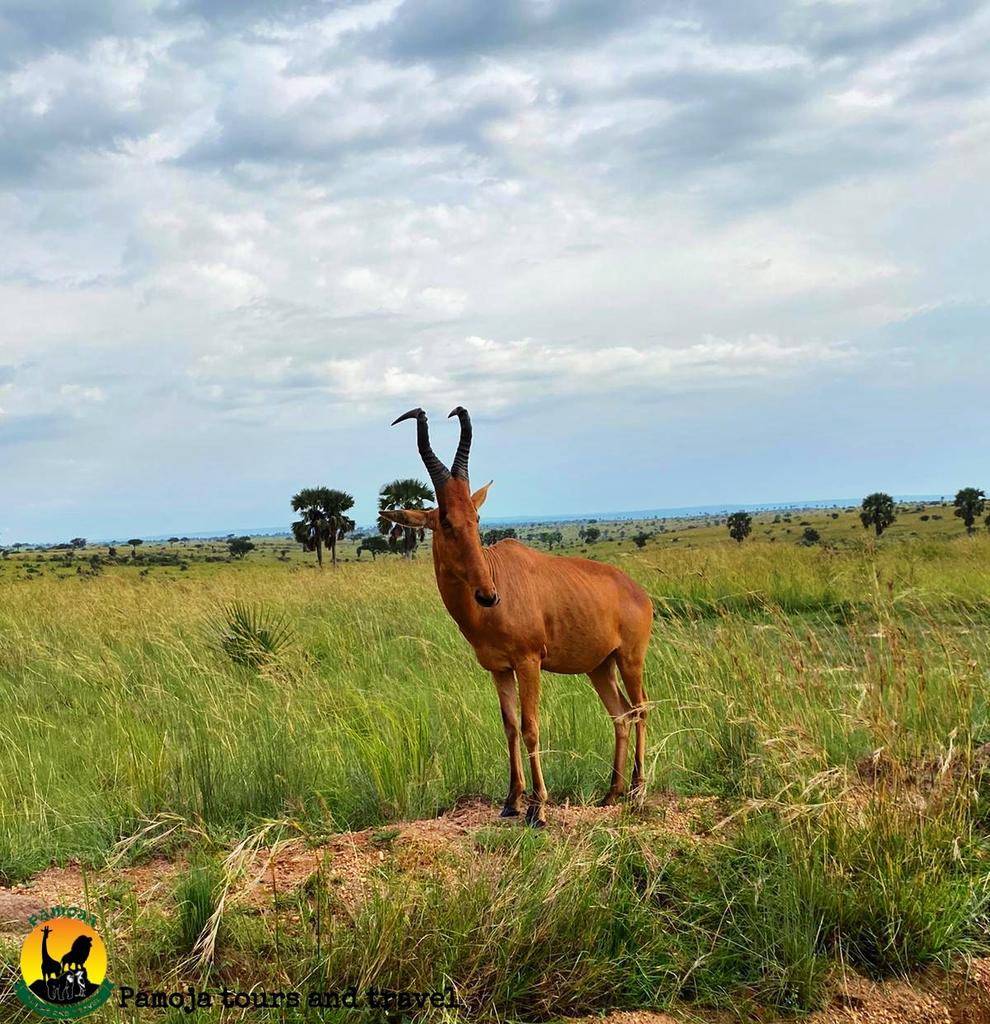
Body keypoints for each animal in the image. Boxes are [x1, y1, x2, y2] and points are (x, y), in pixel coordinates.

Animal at [382, 407, 653, 826]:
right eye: (445, 520)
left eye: (476, 518)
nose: (488, 595)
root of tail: (637, 590)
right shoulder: (499, 668)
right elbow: (509, 726)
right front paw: (511, 801)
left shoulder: (528, 662)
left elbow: (530, 726)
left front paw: (538, 807)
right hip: (599, 666)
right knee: (620, 715)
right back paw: (611, 794)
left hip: (630, 659)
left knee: (640, 710)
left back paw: (638, 792)